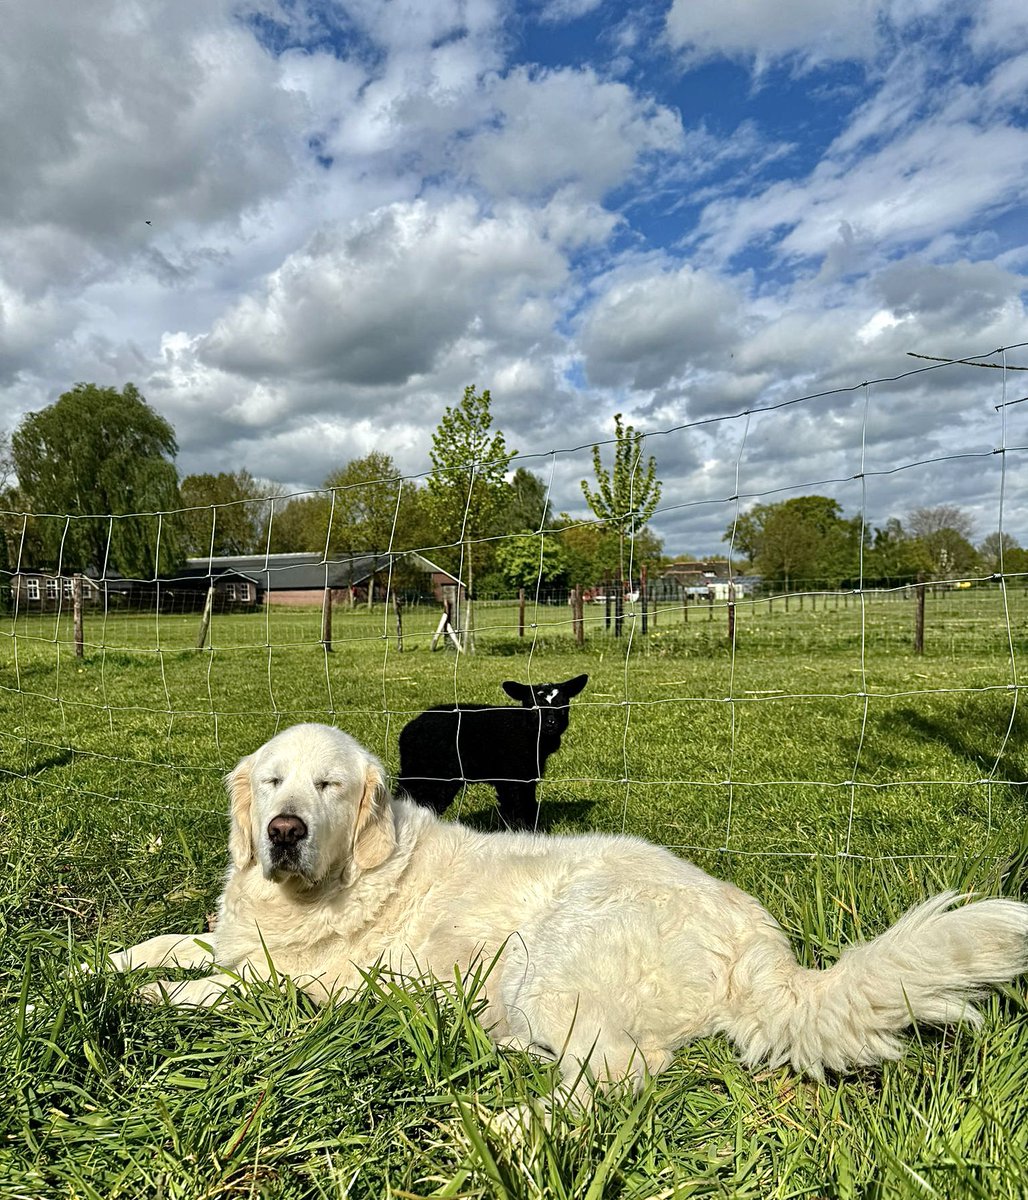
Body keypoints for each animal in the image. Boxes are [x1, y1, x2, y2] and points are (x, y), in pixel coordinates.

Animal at [110, 720, 1026, 1104]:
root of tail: (758, 940)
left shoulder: (313, 986)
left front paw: (149, 998)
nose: (284, 831)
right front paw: (101, 966)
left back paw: (515, 1130)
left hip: (552, 955)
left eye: (328, 786)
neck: (323, 885)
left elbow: (222, 988)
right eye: (272, 782)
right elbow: (168, 941)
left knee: (620, 1075)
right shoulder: (235, 941)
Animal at [398, 676, 590, 835]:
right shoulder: (512, 776)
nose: (550, 723)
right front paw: (525, 833)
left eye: (563, 706)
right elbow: (518, 806)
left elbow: (528, 804)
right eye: (533, 707)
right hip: (430, 774)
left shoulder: (528, 776)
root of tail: (409, 730)